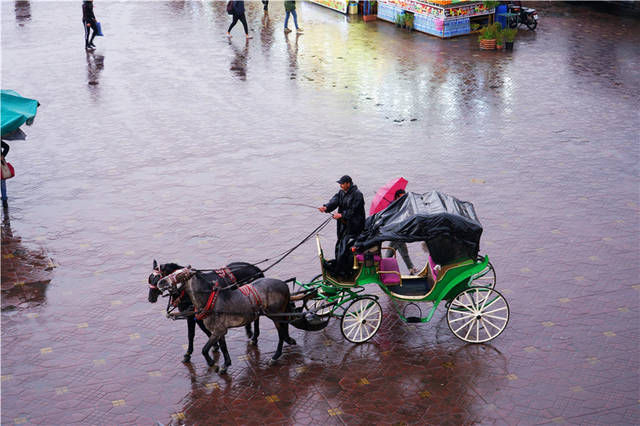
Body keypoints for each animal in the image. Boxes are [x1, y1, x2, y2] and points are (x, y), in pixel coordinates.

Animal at [156, 270, 296, 372]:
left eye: (180, 275)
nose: (160, 282)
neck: (209, 301)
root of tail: (284, 285)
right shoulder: (219, 330)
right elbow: (223, 347)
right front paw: (225, 364)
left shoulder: (218, 330)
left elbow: (204, 349)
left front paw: (212, 363)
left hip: (276, 315)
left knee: (281, 334)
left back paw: (275, 356)